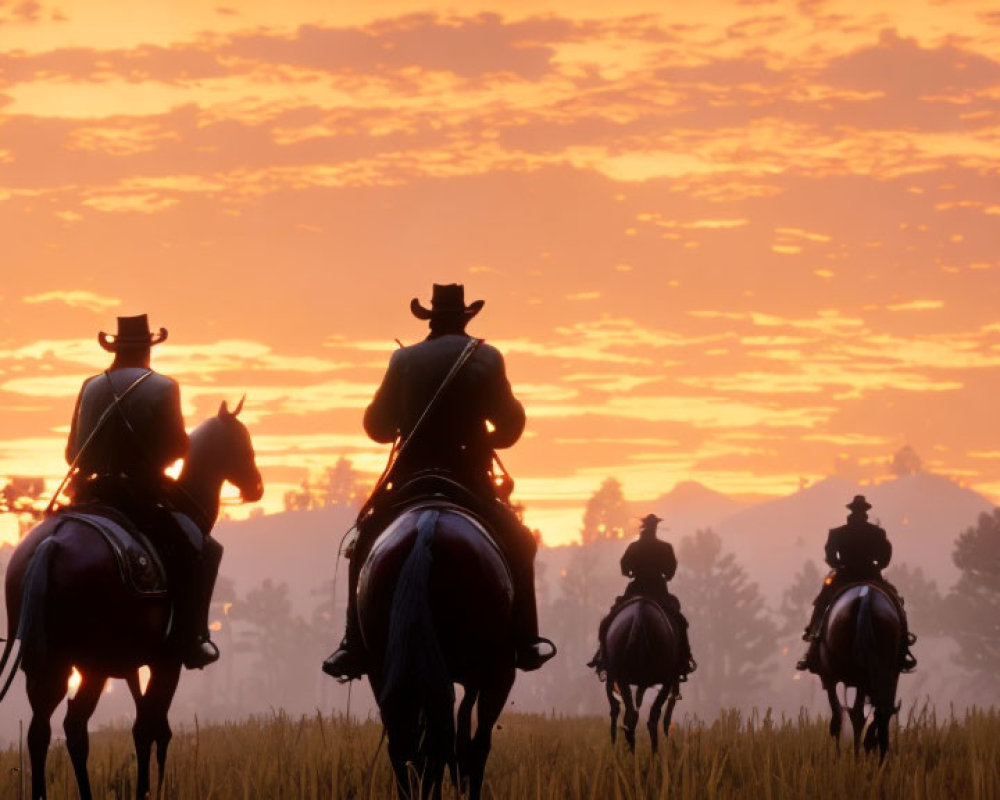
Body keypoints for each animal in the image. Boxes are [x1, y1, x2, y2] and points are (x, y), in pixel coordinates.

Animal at [0, 400, 262, 800]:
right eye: (242, 441)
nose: (257, 486)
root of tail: (53, 543)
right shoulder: (166, 662)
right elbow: (154, 728)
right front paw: (151, 789)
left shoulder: (134, 664)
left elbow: (145, 726)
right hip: (90, 664)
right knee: (75, 724)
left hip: (50, 662)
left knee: (41, 730)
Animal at [358, 504, 516, 796]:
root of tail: (426, 532)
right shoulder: (498, 675)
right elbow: (475, 746)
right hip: (490, 669)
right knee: (452, 747)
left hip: (388, 676)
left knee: (408, 749)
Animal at [812, 580, 908, 760]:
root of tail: (866, 600)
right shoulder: (892, 676)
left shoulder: (829, 677)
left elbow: (838, 719)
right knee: (877, 713)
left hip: (856, 677)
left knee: (854, 716)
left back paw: (856, 757)